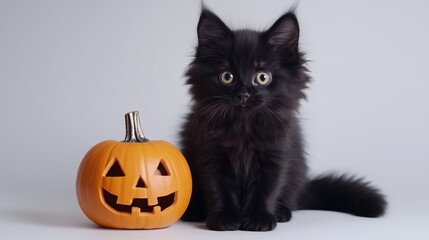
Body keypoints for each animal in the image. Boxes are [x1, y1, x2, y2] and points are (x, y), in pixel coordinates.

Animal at [179, 8, 386, 232]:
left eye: (262, 77)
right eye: (227, 76)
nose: (243, 95)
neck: (244, 128)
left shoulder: (277, 154)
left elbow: (267, 189)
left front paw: (259, 218)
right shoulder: (210, 153)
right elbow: (217, 187)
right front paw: (224, 218)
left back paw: (281, 212)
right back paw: (195, 211)